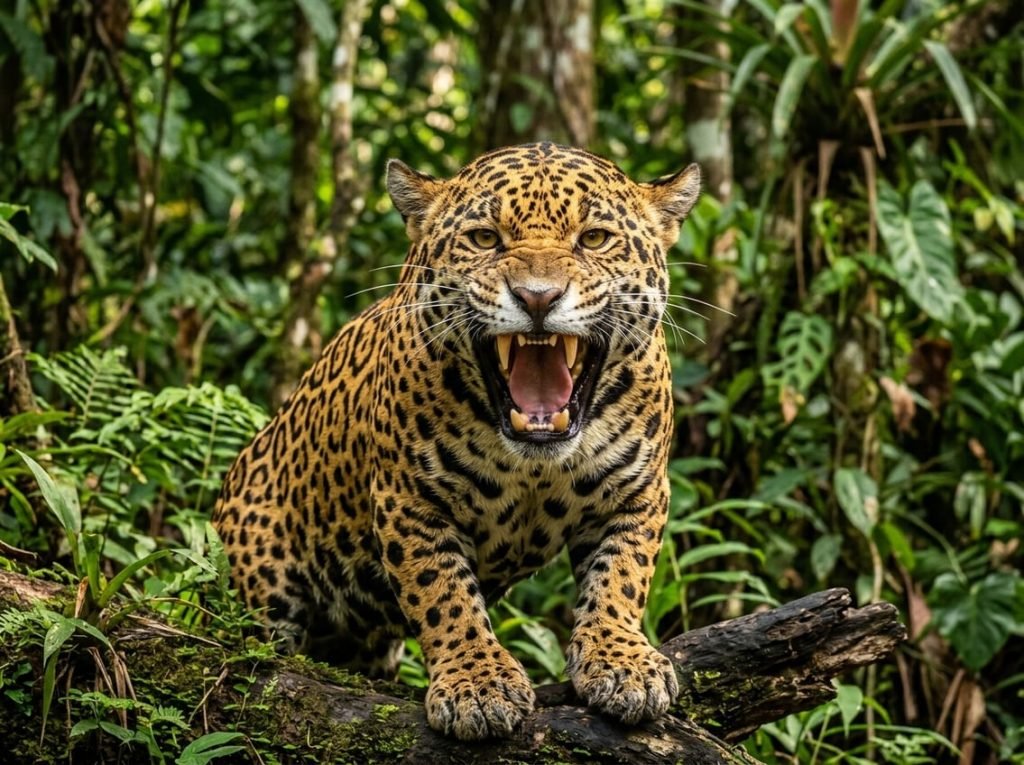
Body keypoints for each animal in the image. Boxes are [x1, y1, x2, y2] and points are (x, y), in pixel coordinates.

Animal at [213, 142, 701, 741]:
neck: (534, 462)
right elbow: (442, 592)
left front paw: (621, 660)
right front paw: (478, 684)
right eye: (485, 238)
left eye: (593, 238)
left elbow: (621, 578)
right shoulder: (410, 501)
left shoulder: (637, 492)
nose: (538, 298)